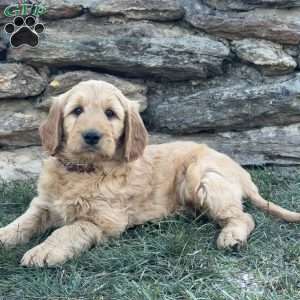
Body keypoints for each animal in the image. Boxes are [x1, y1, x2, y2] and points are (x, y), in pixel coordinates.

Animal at [0, 80, 300, 268]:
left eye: (110, 114)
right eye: (77, 111)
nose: (92, 136)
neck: (84, 170)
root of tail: (243, 175)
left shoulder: (106, 220)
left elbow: (70, 229)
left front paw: (44, 250)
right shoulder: (43, 203)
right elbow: (23, 222)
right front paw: (4, 236)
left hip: (202, 178)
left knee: (244, 216)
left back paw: (232, 237)